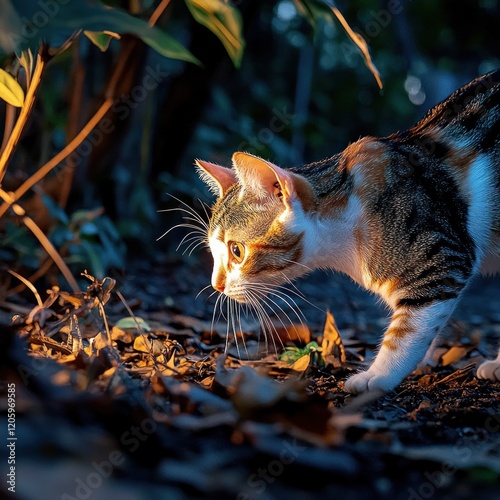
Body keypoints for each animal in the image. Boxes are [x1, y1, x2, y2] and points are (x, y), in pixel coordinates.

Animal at [192, 69, 500, 394]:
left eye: (237, 251)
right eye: (214, 252)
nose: (216, 285)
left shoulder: (442, 260)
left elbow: (408, 330)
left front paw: (378, 375)